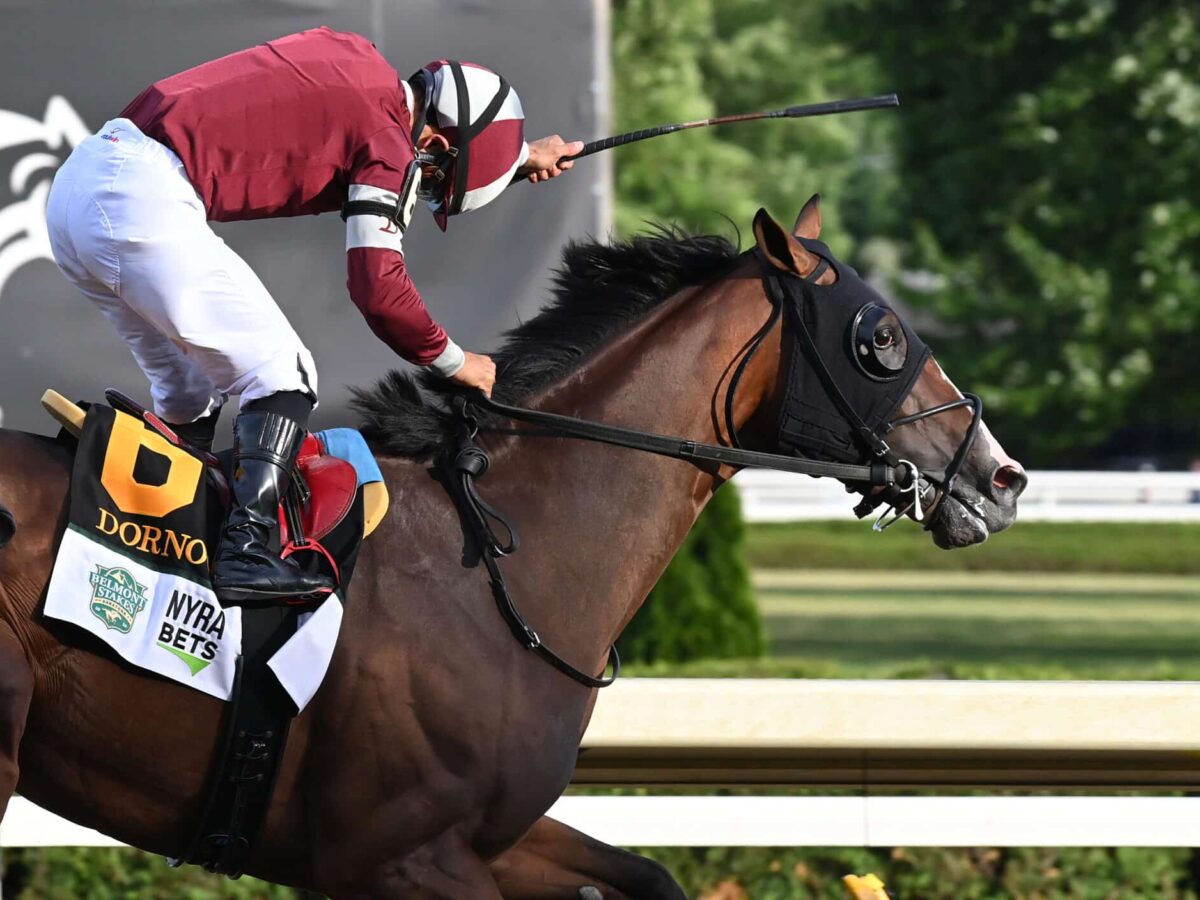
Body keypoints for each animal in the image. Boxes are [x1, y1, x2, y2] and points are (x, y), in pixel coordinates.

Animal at [0, 199, 1022, 900]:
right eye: (880, 337)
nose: (1001, 475)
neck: (504, 565)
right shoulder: (406, 858)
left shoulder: (489, 835)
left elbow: (648, 875)